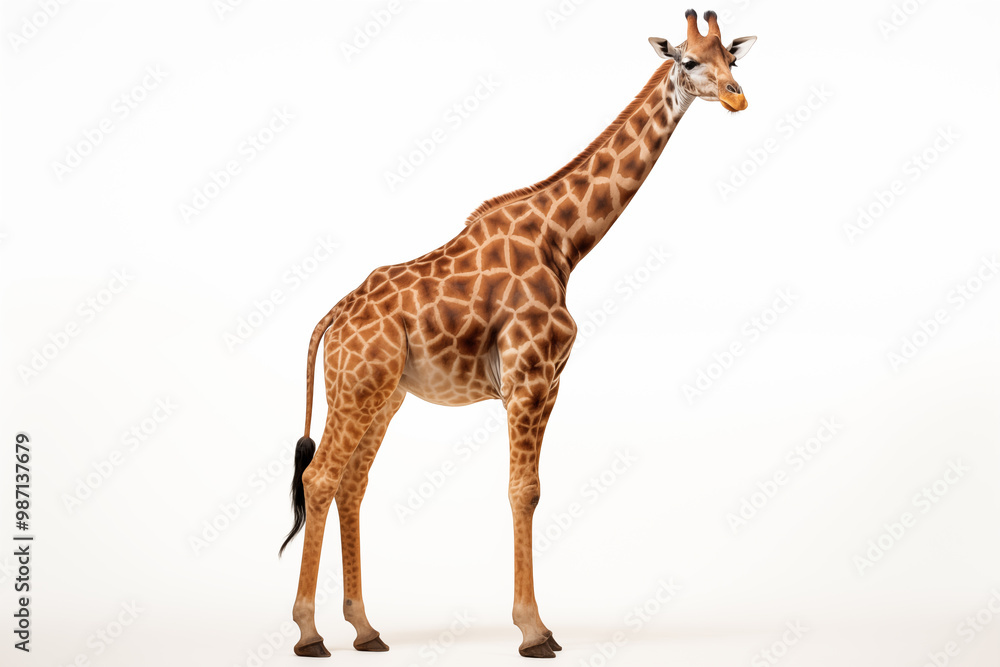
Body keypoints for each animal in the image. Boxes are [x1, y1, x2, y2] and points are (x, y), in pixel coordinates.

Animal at [280, 9, 755, 659]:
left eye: (732, 58)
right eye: (687, 60)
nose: (737, 97)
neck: (564, 243)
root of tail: (332, 317)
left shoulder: (550, 381)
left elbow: (528, 488)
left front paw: (534, 625)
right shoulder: (528, 377)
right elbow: (522, 490)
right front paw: (534, 631)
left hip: (384, 395)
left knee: (352, 483)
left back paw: (366, 629)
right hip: (357, 387)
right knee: (320, 477)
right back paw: (308, 633)